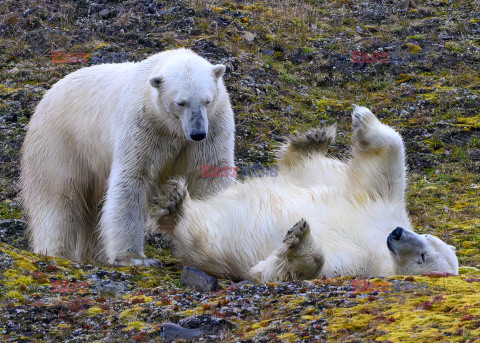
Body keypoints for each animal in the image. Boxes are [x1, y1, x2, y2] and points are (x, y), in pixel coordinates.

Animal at [19, 49, 235, 266]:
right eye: (181, 102)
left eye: (207, 101)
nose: (197, 133)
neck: (171, 127)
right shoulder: (143, 124)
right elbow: (132, 177)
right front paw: (134, 257)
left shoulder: (214, 126)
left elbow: (210, 176)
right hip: (60, 142)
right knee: (58, 197)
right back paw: (57, 252)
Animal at [159, 107, 460, 282]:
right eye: (427, 237)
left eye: (423, 258)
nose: (396, 233)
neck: (378, 250)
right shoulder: (381, 211)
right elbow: (384, 172)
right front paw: (364, 118)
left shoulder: (355, 267)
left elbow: (281, 271)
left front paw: (297, 239)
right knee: (310, 168)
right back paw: (312, 141)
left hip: (215, 245)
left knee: (199, 235)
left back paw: (174, 205)